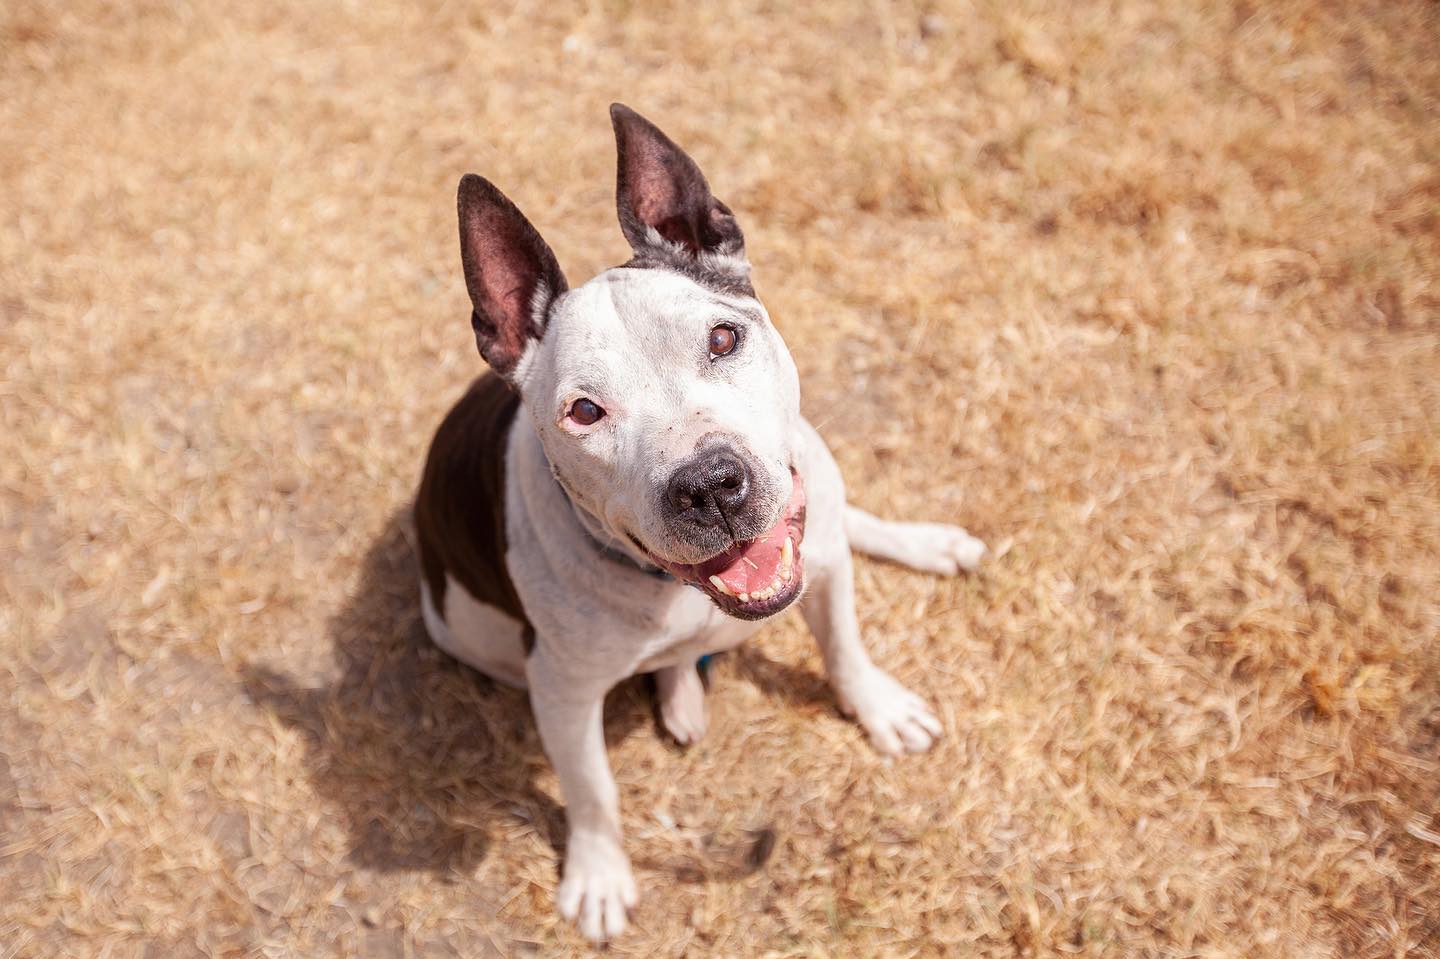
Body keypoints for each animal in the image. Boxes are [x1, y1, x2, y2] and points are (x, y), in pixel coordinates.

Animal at [411, 104, 984, 933]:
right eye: (585, 411)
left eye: (722, 338)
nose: (710, 485)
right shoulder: (560, 689)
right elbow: (592, 790)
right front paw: (599, 872)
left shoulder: (822, 566)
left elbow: (843, 645)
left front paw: (875, 705)